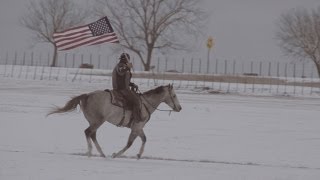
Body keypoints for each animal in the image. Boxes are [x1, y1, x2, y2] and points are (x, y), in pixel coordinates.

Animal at [47, 83, 182, 158]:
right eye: (174, 95)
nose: (180, 108)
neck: (145, 104)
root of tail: (87, 95)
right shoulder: (137, 127)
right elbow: (129, 143)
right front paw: (116, 155)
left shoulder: (138, 128)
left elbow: (144, 139)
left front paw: (139, 155)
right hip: (98, 121)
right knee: (88, 132)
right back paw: (90, 152)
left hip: (94, 121)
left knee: (92, 134)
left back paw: (101, 153)